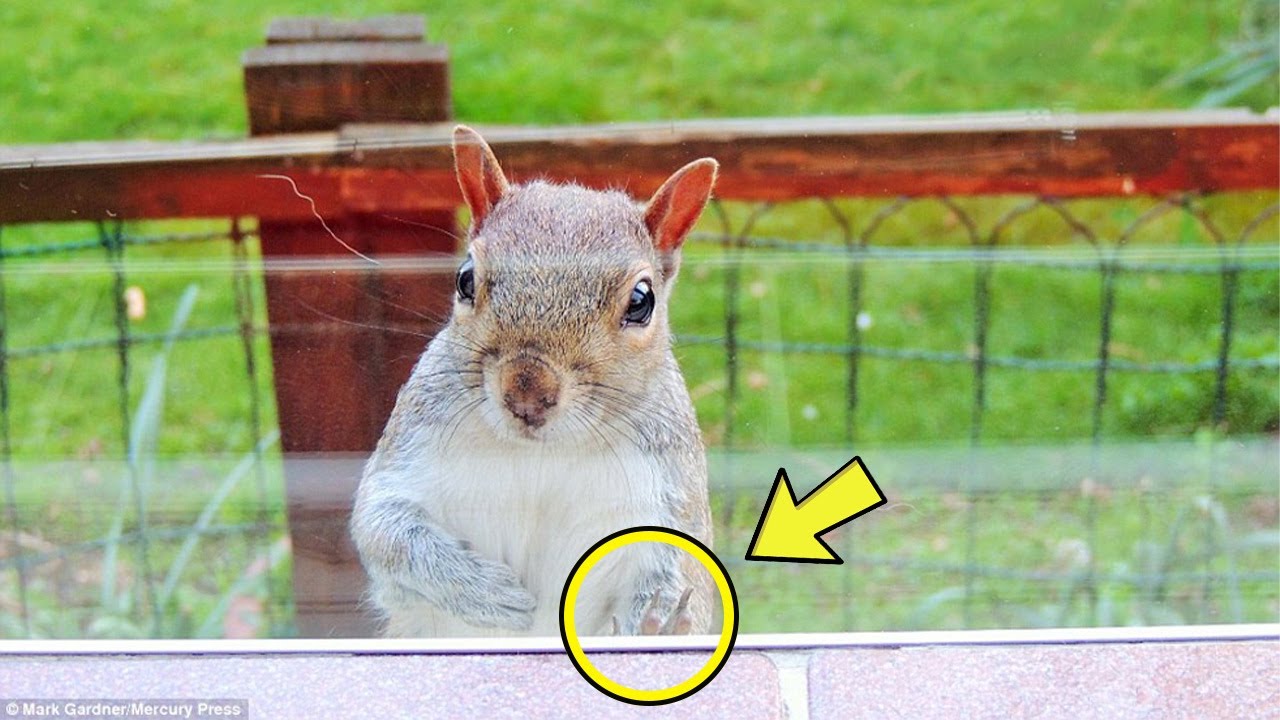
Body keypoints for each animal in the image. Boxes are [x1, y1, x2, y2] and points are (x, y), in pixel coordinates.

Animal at [350, 126, 718, 637]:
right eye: (465, 279)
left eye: (641, 301)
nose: (527, 391)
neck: (546, 450)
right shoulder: (408, 453)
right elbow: (385, 528)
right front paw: (489, 593)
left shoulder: (672, 500)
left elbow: (684, 585)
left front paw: (656, 628)